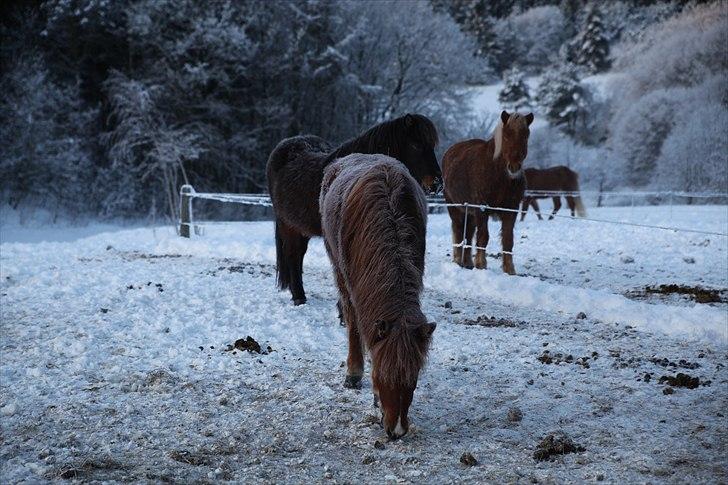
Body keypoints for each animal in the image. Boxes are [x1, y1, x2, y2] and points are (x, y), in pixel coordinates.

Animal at [266, 113, 440, 304]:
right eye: (416, 145)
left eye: (432, 146)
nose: (437, 184)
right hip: (288, 225)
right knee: (292, 255)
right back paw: (299, 297)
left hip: (301, 228)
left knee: (299, 255)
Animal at [440, 111, 532, 274]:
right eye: (506, 135)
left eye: (526, 135)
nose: (514, 167)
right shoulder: (482, 209)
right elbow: (483, 237)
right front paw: (481, 265)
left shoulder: (511, 210)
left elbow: (508, 240)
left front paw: (509, 270)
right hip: (455, 207)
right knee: (458, 229)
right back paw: (458, 260)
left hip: (470, 212)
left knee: (468, 233)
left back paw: (467, 262)